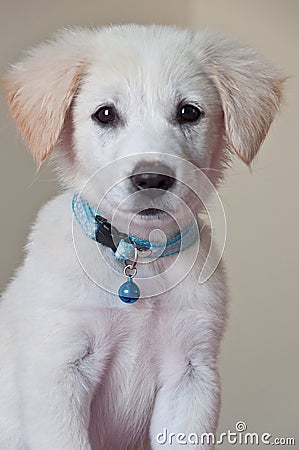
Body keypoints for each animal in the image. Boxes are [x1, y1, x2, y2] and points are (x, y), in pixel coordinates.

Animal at [0, 25, 284, 450]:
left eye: (189, 112)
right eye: (105, 114)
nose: (152, 179)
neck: (138, 256)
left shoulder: (192, 375)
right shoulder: (57, 369)